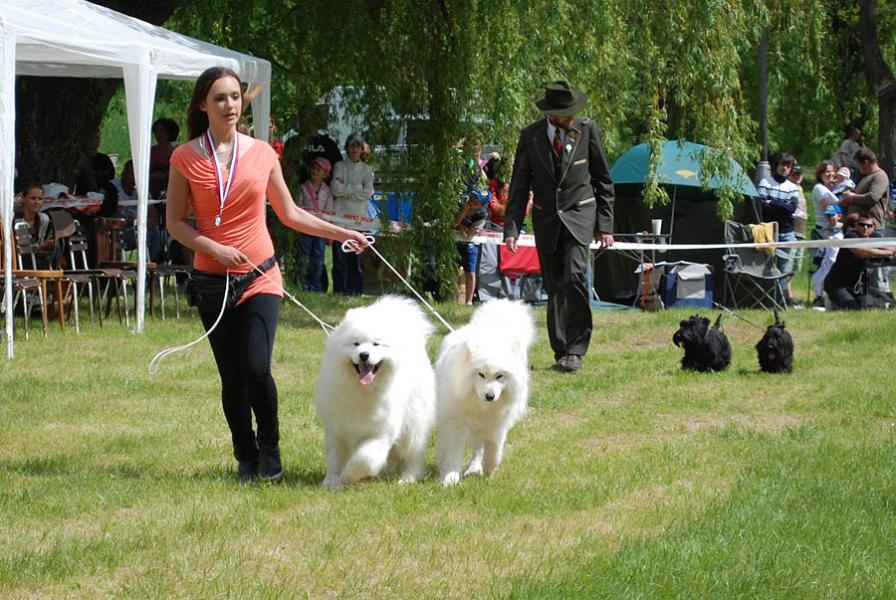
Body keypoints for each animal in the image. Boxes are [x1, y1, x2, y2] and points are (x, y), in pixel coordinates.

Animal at [316, 296, 438, 488]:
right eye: (356, 344)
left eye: (376, 344)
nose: (364, 354)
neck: (362, 391)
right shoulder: (336, 430)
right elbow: (335, 459)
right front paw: (331, 482)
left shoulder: (380, 434)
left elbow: (364, 459)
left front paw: (348, 477)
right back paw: (389, 471)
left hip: (413, 425)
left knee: (413, 455)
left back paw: (408, 478)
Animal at [434, 298, 532, 486]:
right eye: (481, 374)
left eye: (500, 376)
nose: (490, 396)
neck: (481, 407)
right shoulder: (455, 423)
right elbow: (453, 452)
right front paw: (450, 478)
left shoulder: (498, 425)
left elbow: (494, 449)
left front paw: (489, 471)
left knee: (479, 447)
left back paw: (475, 467)